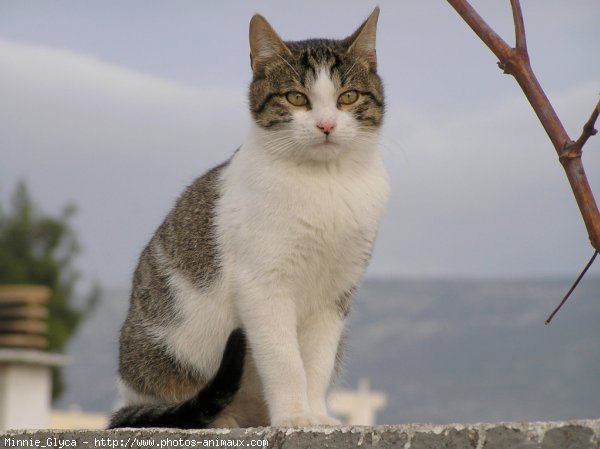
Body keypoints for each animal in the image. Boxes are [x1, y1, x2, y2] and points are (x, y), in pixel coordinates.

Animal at [111, 6, 390, 428]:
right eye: (296, 98)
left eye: (348, 97)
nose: (326, 125)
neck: (324, 182)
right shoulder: (262, 285)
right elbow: (285, 360)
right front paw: (294, 416)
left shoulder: (335, 294)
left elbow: (317, 363)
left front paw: (315, 414)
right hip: (164, 357)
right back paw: (221, 421)